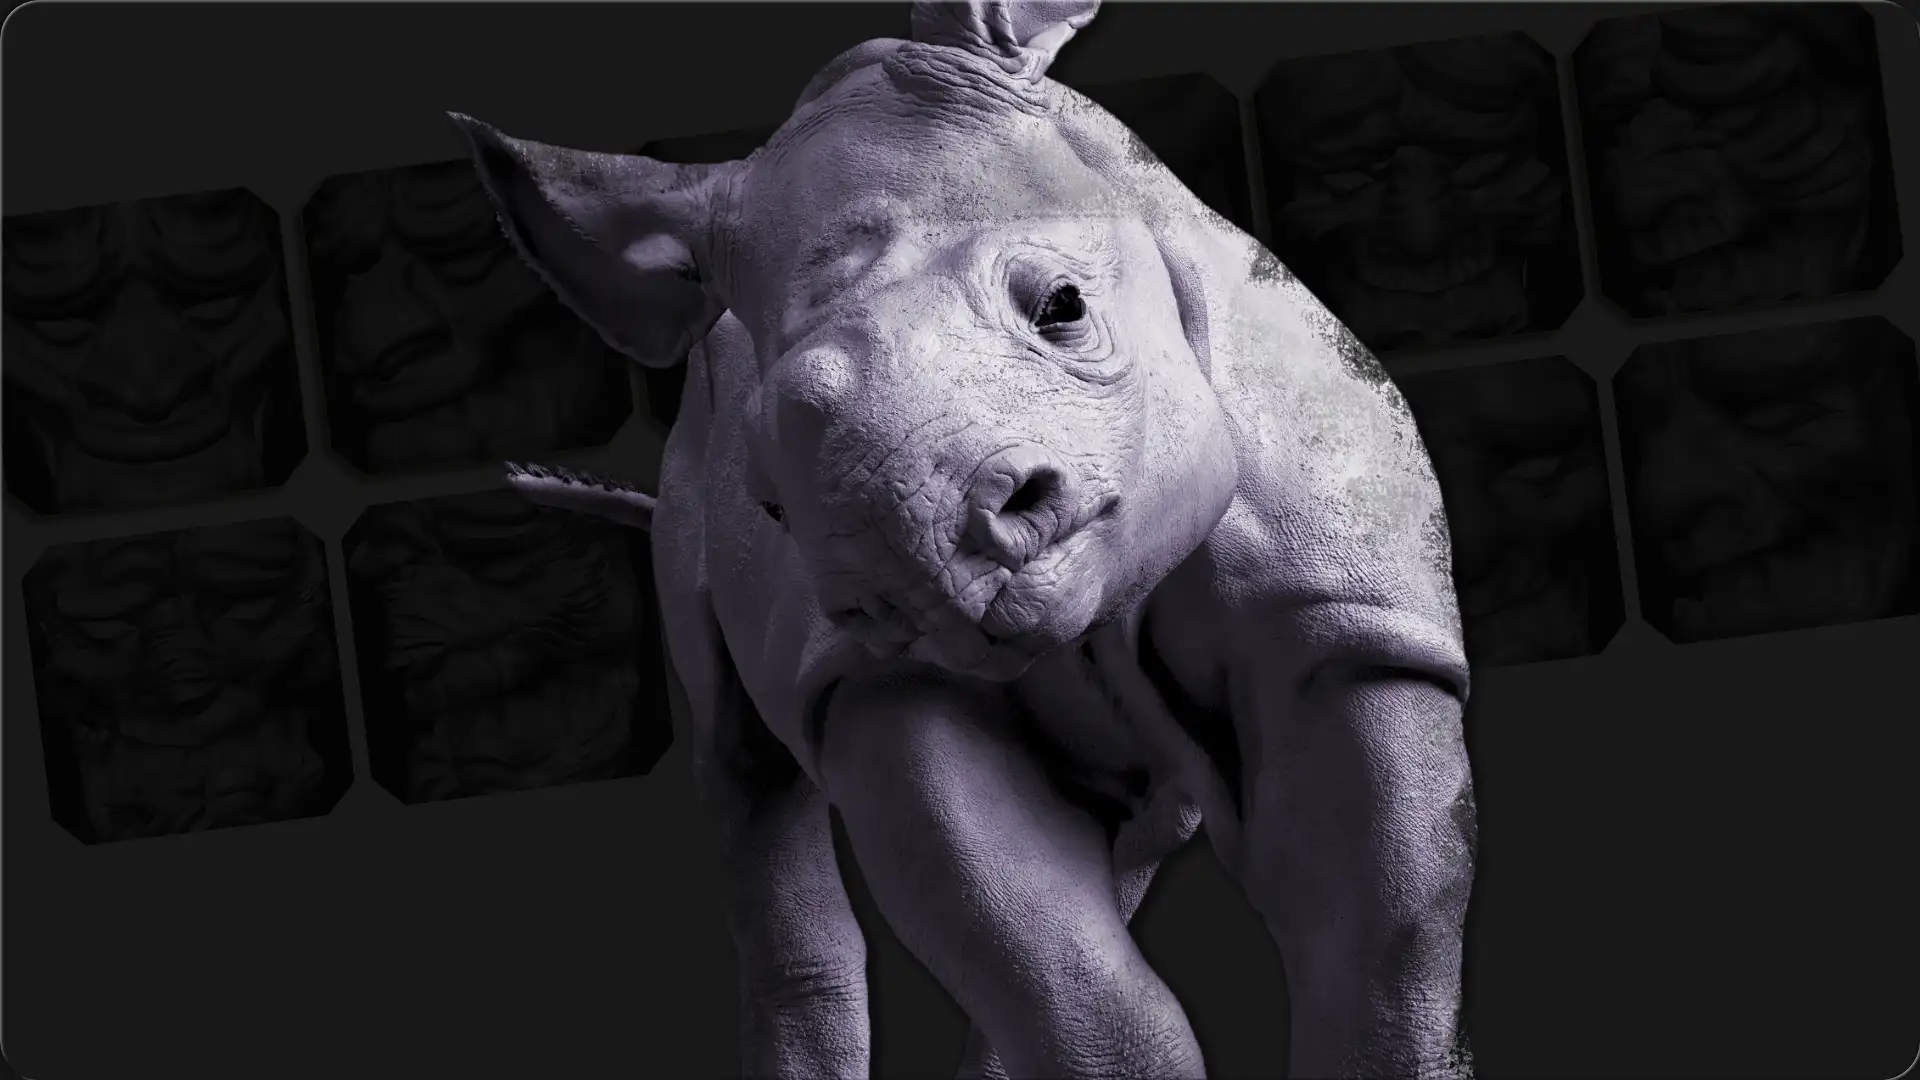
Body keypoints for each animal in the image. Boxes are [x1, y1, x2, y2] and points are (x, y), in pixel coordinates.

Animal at [450, 2, 1477, 1077]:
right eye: (769, 502)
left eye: (1064, 306)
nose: (920, 578)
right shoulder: (874, 677)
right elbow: (1068, 984)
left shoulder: (1344, 621)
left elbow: (1381, 939)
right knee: (744, 776)